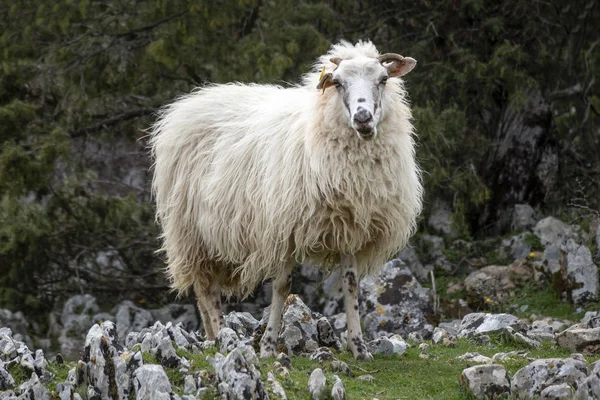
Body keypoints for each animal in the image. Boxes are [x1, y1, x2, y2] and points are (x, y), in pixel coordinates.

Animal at [149, 39, 422, 360]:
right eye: (338, 83)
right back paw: (223, 336)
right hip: (191, 233)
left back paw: (212, 336)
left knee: (204, 292)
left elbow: (351, 286)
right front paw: (268, 345)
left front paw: (359, 347)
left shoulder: (350, 229)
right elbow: (281, 287)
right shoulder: (283, 228)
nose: (363, 118)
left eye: (383, 79)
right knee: (206, 290)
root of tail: (190, 101)